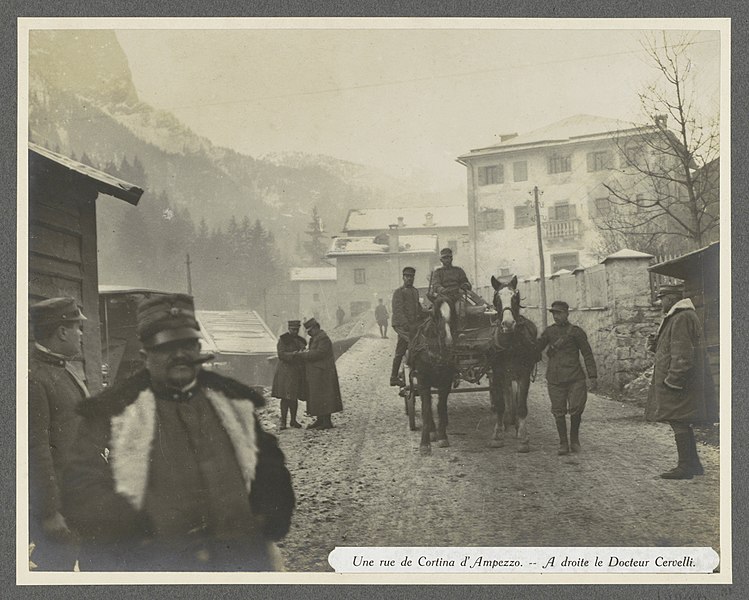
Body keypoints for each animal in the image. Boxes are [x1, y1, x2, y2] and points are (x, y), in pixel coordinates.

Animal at [410, 296, 456, 454]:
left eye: (452, 314)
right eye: (436, 315)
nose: (449, 341)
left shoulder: (446, 381)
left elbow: (441, 407)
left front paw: (442, 436)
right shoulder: (423, 381)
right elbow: (426, 409)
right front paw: (425, 443)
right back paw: (431, 430)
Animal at [486, 274, 536, 452]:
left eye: (515, 297)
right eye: (496, 298)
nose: (508, 324)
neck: (510, 345)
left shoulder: (524, 373)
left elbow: (521, 405)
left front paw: (523, 438)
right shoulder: (497, 372)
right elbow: (500, 404)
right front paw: (497, 435)